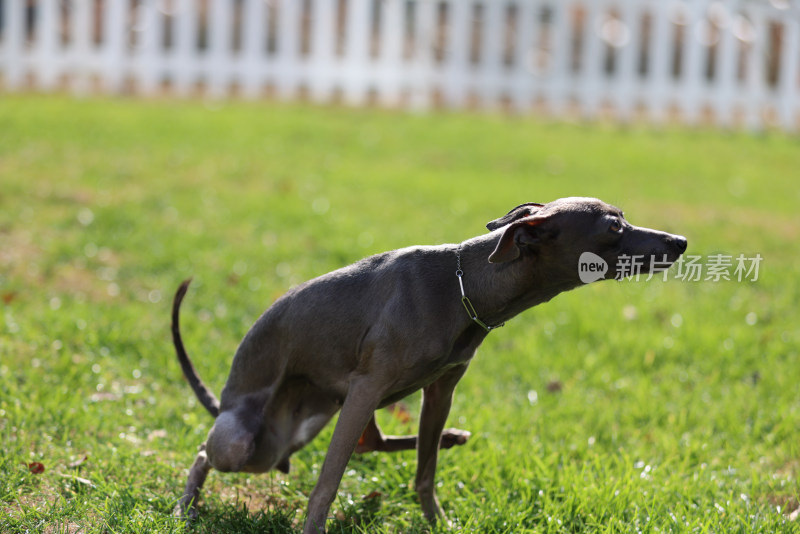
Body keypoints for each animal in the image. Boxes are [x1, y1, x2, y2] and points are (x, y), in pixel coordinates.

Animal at [172, 198, 684, 534]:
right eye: (613, 228)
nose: (679, 240)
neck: (464, 286)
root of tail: (223, 403)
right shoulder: (367, 387)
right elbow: (328, 481)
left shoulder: (440, 390)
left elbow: (425, 470)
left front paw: (439, 521)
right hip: (251, 441)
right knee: (205, 452)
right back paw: (184, 508)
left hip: (314, 421)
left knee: (372, 444)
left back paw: (454, 437)